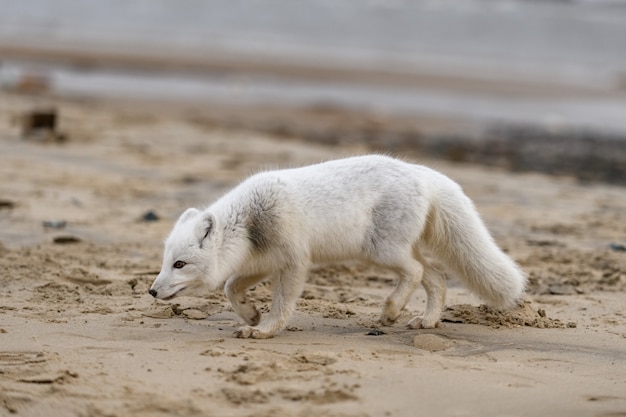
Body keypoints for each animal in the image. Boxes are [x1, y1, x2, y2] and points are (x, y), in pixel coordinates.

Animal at [149, 154, 524, 336]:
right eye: (165, 261)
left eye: (180, 264)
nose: (151, 291)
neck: (250, 222)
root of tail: (423, 172)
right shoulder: (262, 262)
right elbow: (230, 287)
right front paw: (251, 315)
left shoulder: (295, 262)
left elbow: (281, 304)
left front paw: (265, 330)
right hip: (396, 250)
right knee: (436, 277)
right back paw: (427, 321)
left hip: (381, 251)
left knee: (418, 272)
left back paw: (390, 311)